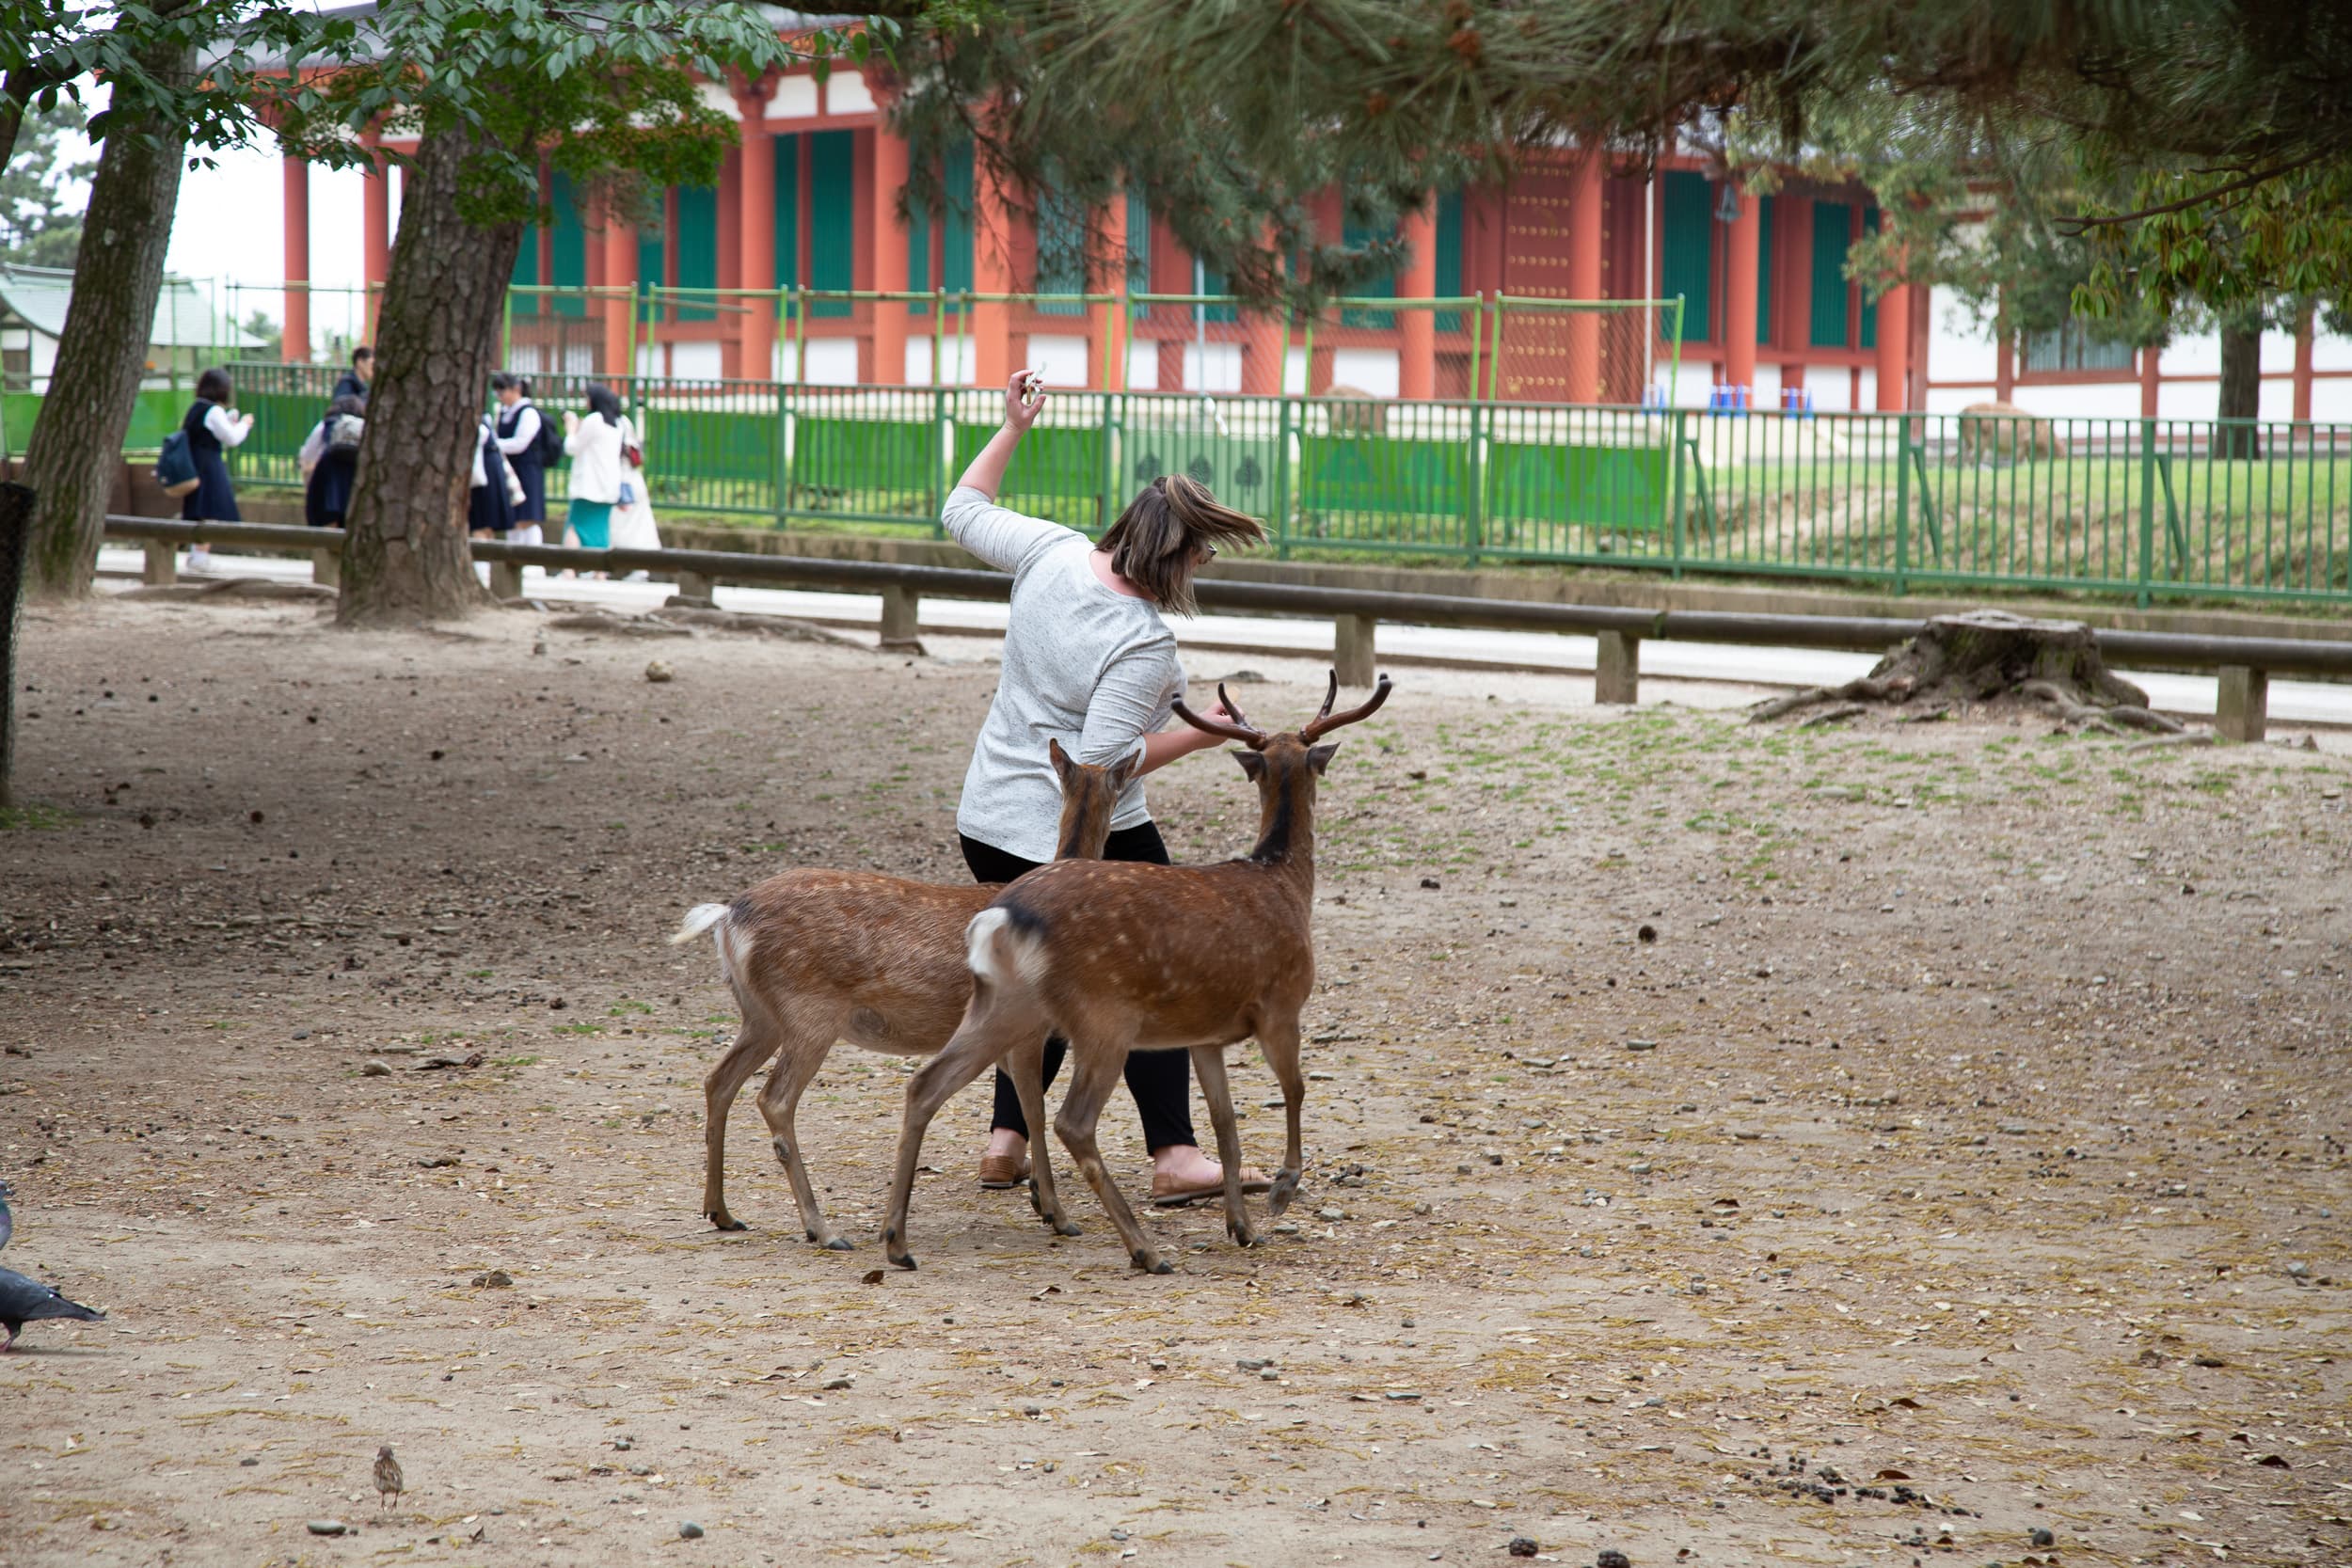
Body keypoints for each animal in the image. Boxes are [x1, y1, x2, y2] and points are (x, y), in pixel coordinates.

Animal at [670, 740, 1139, 1249]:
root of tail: (728, 917)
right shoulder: (1028, 1031)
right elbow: (1034, 1110)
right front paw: (1057, 1213)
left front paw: (1042, 1202)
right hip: (809, 1012)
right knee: (773, 1099)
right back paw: (823, 1228)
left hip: (760, 1015)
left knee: (718, 1080)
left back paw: (720, 1211)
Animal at [878, 672, 1393, 1273]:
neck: (1285, 883)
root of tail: (1001, 916)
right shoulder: (1281, 1003)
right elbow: (1296, 1089)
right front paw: (1283, 1188)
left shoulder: (1207, 1033)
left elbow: (1225, 1123)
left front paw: (1242, 1226)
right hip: (1104, 1016)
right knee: (1072, 1120)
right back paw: (1144, 1248)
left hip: (1004, 1006)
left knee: (925, 1084)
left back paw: (897, 1241)